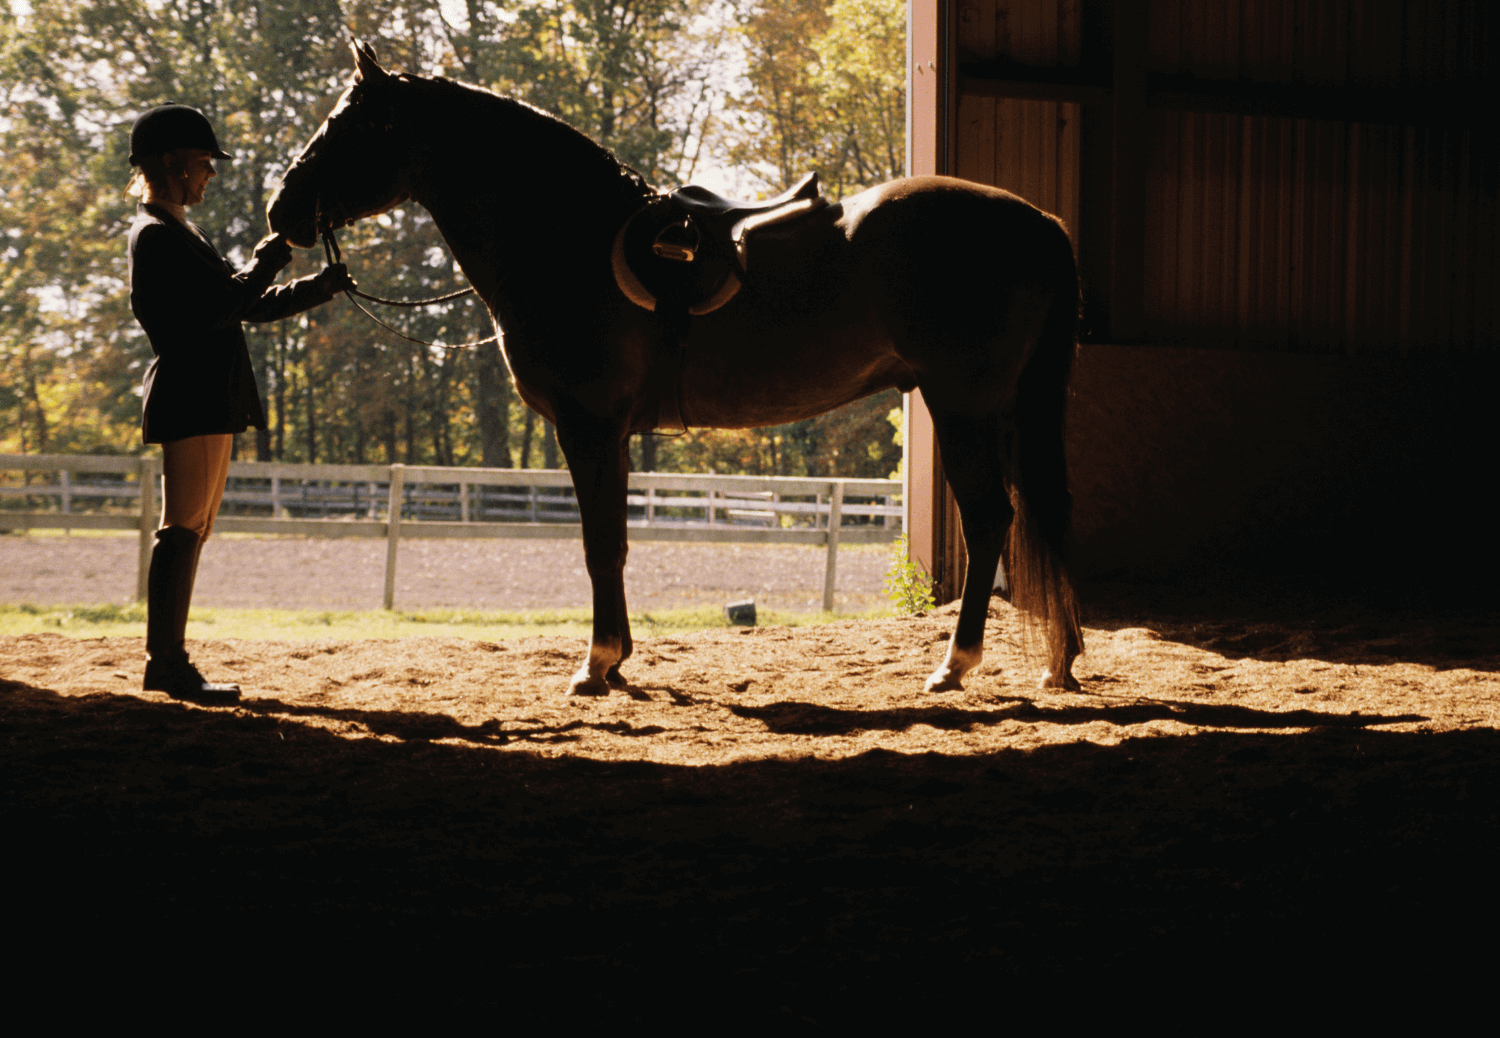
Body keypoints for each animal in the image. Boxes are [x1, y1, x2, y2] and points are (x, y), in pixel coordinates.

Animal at [270, 46, 1086, 696]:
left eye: (348, 126)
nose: (282, 212)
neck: (565, 236)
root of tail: (1039, 222)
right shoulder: (613, 434)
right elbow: (618, 542)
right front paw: (618, 658)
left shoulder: (588, 425)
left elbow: (600, 542)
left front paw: (596, 664)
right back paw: (1059, 659)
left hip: (963, 406)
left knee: (990, 521)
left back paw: (956, 663)